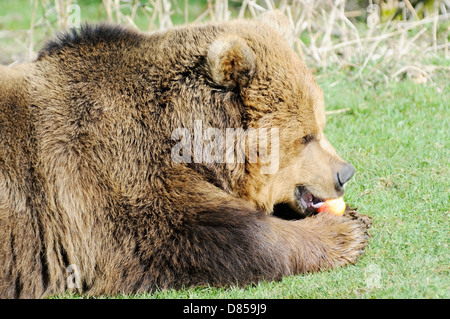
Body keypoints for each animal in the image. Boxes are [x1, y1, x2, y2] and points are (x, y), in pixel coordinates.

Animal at [0, 10, 370, 300]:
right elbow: (196, 236)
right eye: (306, 136)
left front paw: (353, 216)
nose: (345, 173)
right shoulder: (110, 172)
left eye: (321, 125)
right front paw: (345, 232)